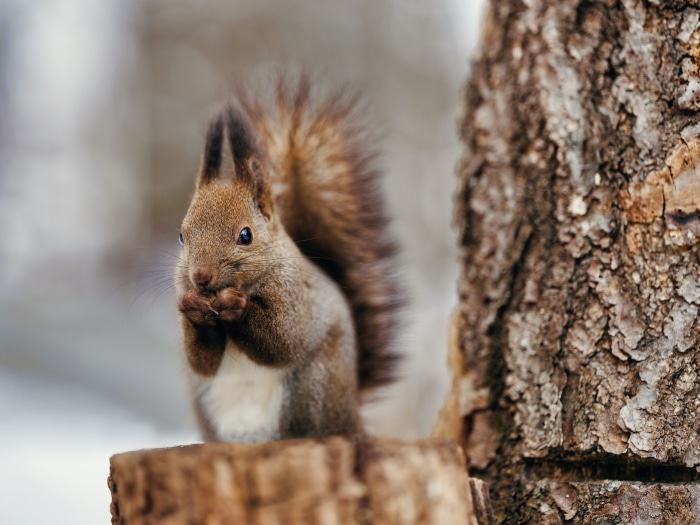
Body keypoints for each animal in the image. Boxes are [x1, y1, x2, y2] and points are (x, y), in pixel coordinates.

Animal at [175, 76, 403, 443]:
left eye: (245, 235)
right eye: (182, 236)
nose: (200, 277)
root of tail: (351, 418)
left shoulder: (298, 298)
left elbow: (283, 341)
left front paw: (236, 306)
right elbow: (202, 362)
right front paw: (194, 308)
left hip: (310, 391)